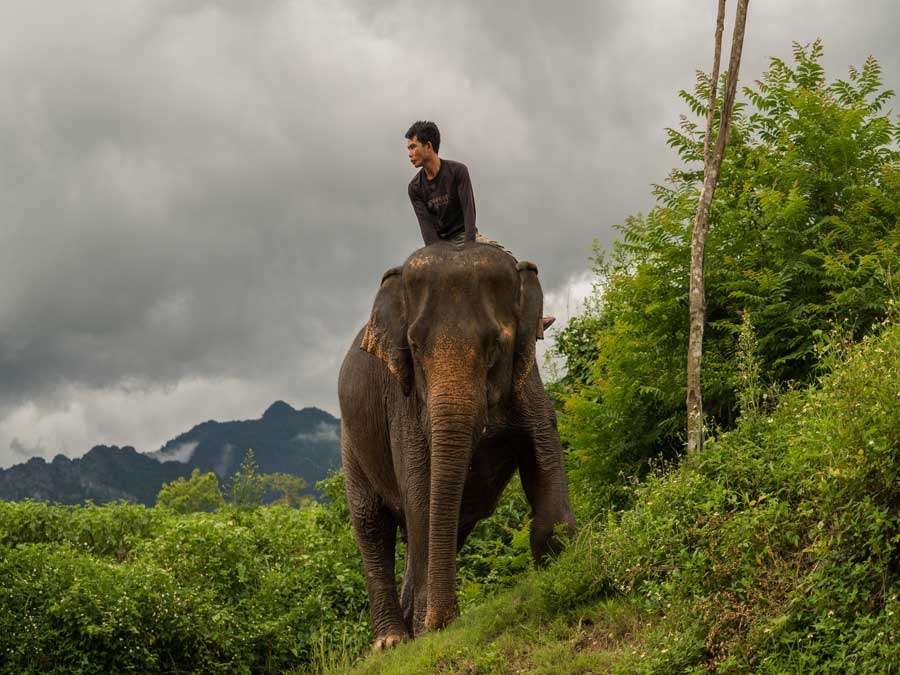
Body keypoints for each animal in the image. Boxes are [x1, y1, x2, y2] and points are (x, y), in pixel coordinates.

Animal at [338, 242, 576, 648]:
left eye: (496, 344)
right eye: (414, 347)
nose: (440, 623)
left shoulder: (528, 381)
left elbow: (543, 453)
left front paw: (561, 567)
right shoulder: (403, 402)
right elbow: (420, 497)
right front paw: (428, 628)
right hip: (351, 444)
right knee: (372, 525)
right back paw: (393, 642)